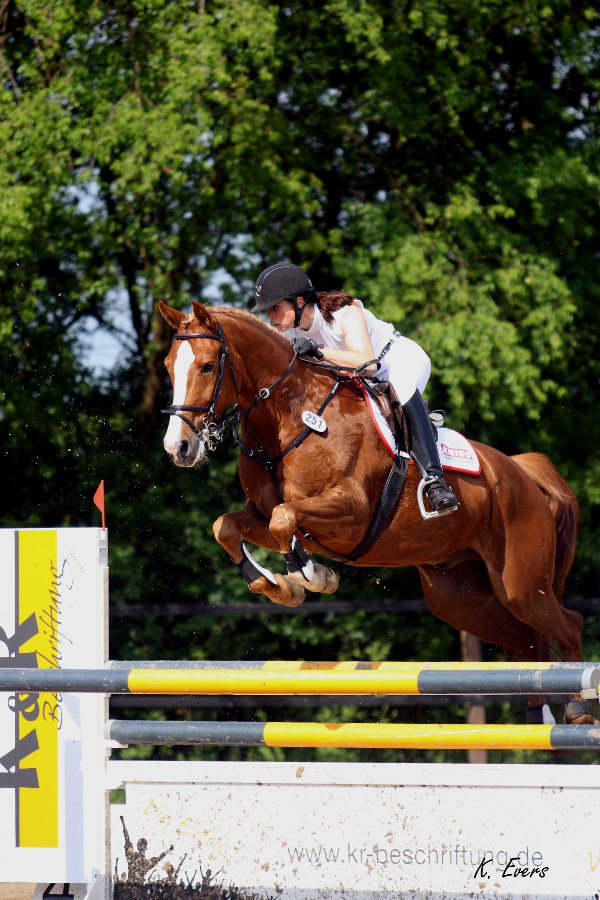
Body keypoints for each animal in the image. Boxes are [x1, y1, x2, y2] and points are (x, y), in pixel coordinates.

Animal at [161, 302, 596, 724]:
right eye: (167, 365)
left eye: (207, 366)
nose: (177, 448)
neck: (288, 418)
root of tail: (521, 473)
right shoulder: (266, 514)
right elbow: (229, 526)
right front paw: (279, 586)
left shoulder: (351, 512)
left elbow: (284, 517)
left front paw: (312, 576)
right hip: (461, 599)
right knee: (529, 641)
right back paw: (539, 717)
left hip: (519, 583)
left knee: (568, 626)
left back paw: (578, 709)